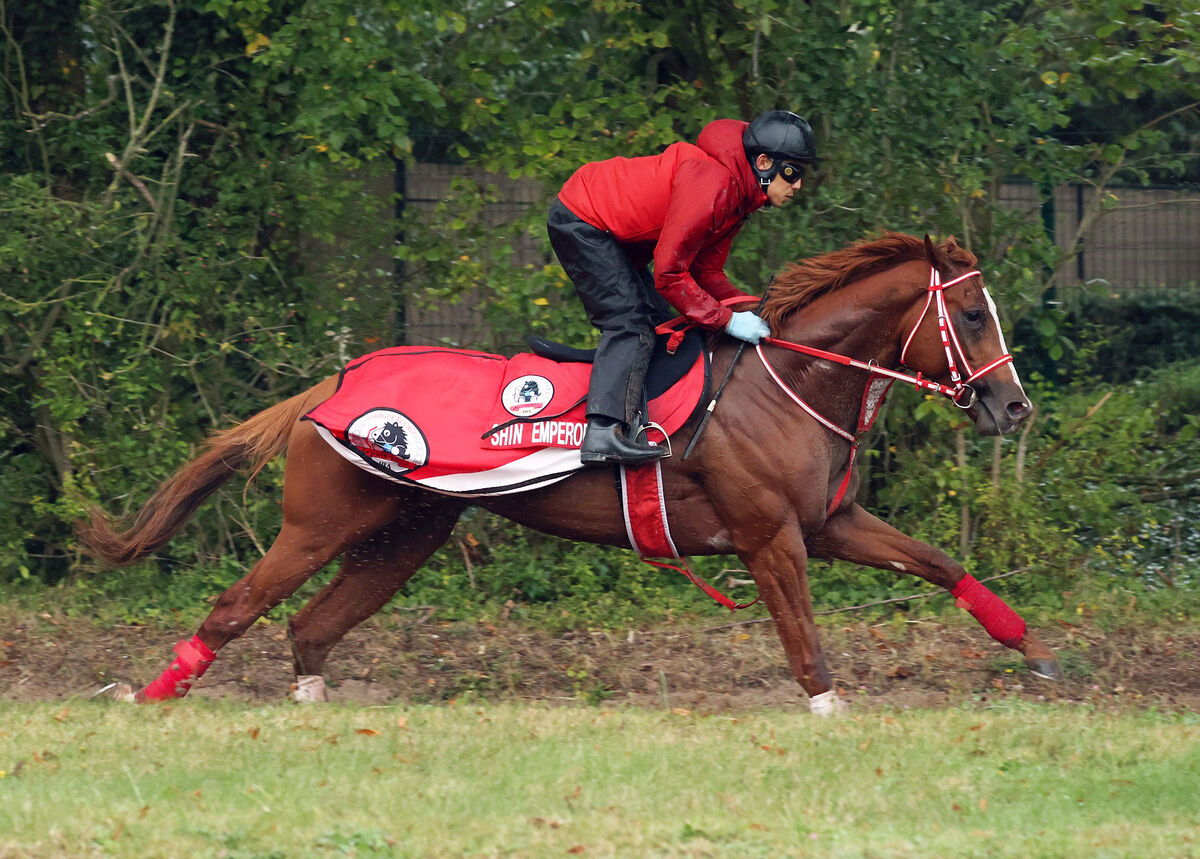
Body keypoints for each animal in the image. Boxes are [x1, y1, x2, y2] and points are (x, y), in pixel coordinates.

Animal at [82, 232, 1060, 710]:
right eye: (975, 314)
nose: (1015, 409)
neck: (787, 379)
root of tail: (335, 381)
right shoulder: (770, 534)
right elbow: (801, 631)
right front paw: (829, 705)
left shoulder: (826, 521)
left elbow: (938, 562)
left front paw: (1035, 649)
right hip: (321, 521)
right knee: (236, 606)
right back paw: (146, 694)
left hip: (406, 532)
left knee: (311, 626)